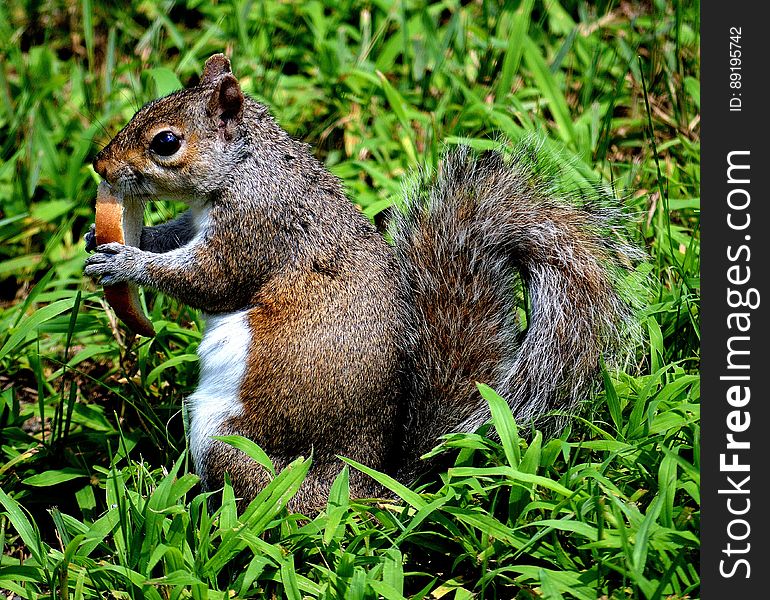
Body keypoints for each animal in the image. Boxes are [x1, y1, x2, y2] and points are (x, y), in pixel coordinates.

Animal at [84, 54, 640, 512]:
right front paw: (111, 237)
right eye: (146, 107)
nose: (101, 164)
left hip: (233, 449)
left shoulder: (258, 229)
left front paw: (125, 261)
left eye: (166, 142)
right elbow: (174, 236)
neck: (247, 167)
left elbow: (210, 282)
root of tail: (366, 490)